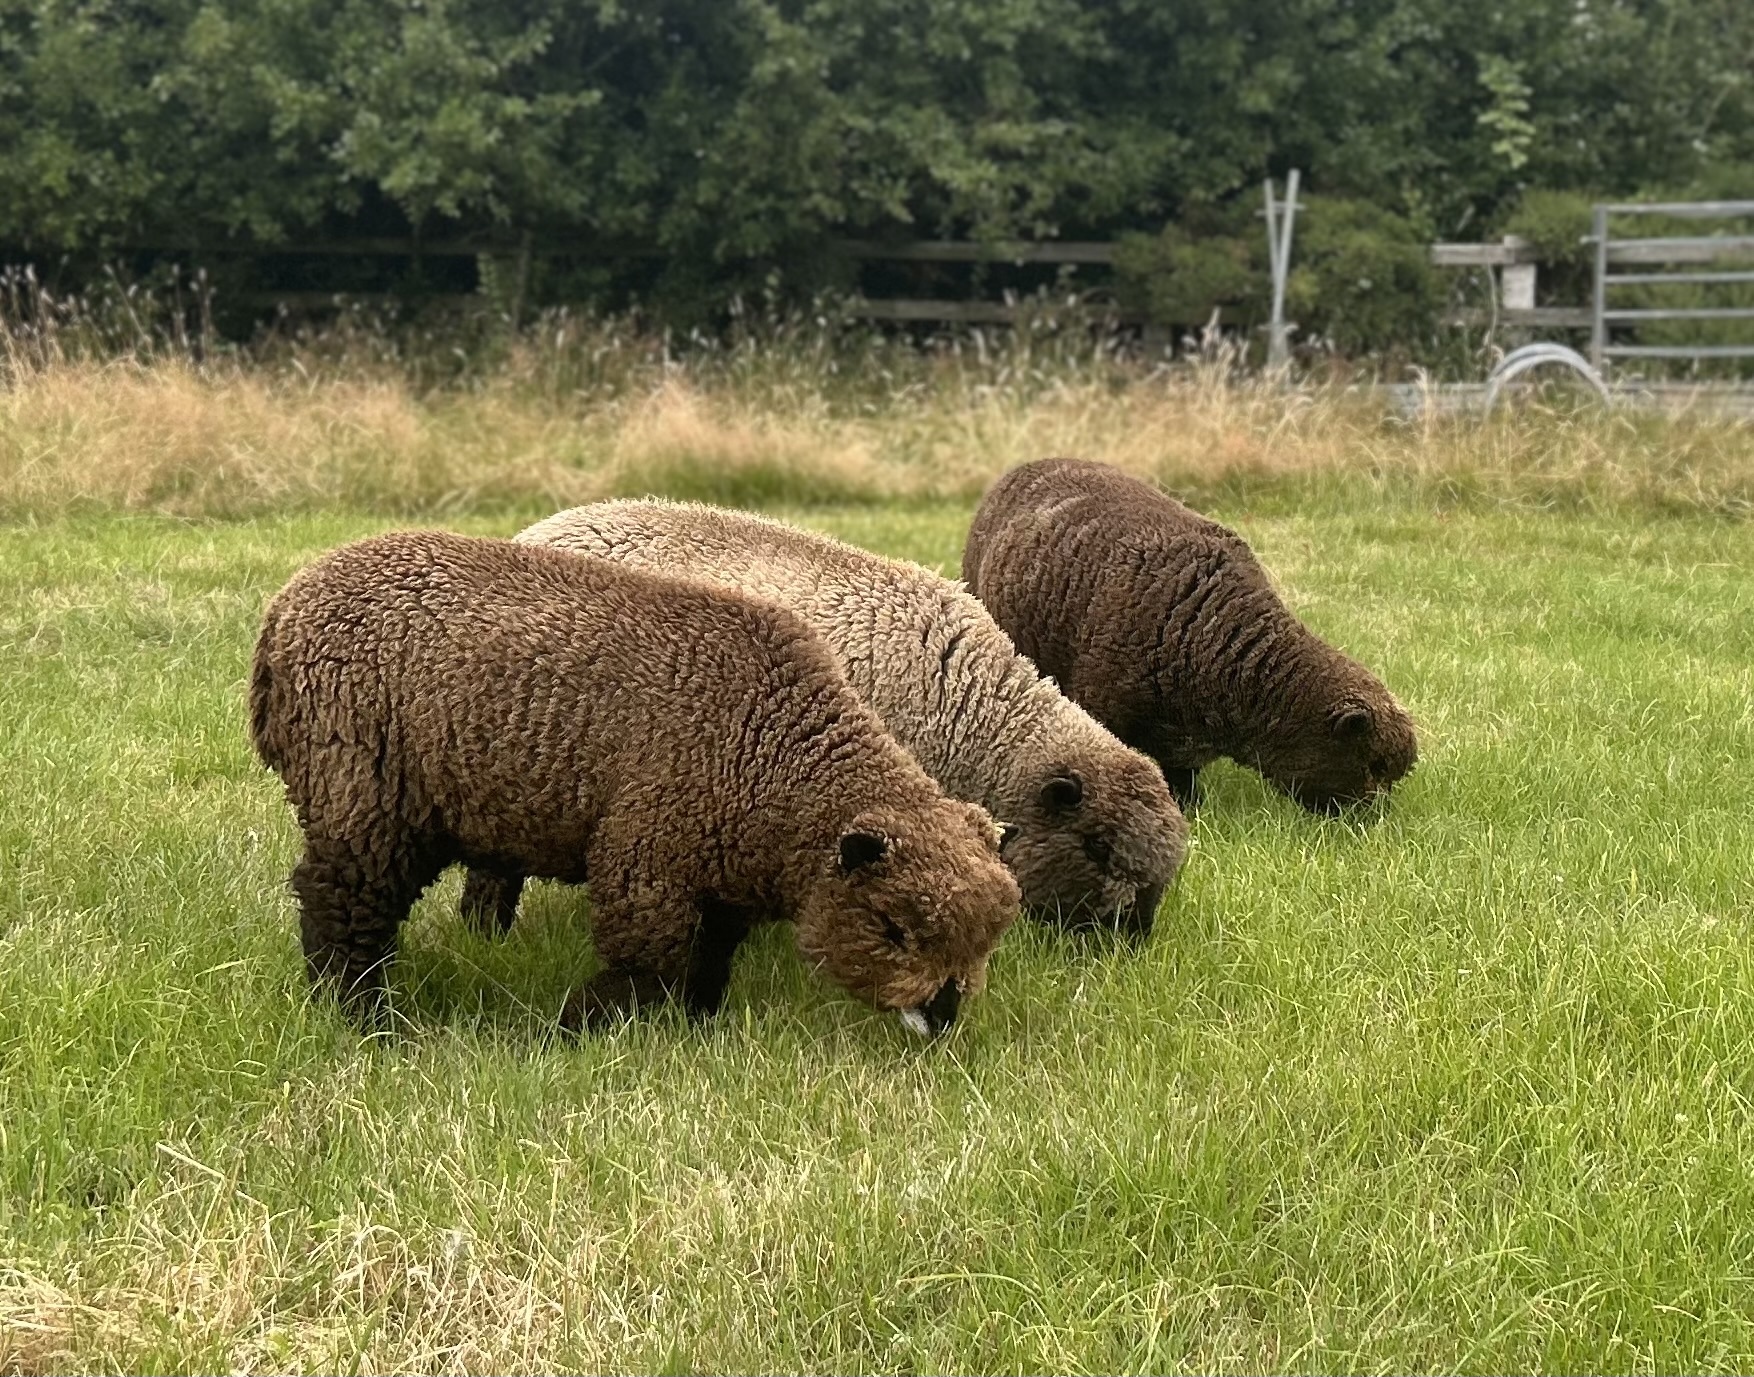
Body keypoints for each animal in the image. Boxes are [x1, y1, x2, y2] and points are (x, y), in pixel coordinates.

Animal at [249, 530, 1020, 1035]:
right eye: (893, 927)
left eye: (988, 939)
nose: (944, 1016)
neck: (772, 757)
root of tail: (284, 611)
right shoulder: (647, 856)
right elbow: (645, 962)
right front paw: (577, 1030)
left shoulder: (717, 871)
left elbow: (709, 955)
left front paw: (698, 1025)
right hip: (360, 785)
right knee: (340, 900)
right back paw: (360, 1015)